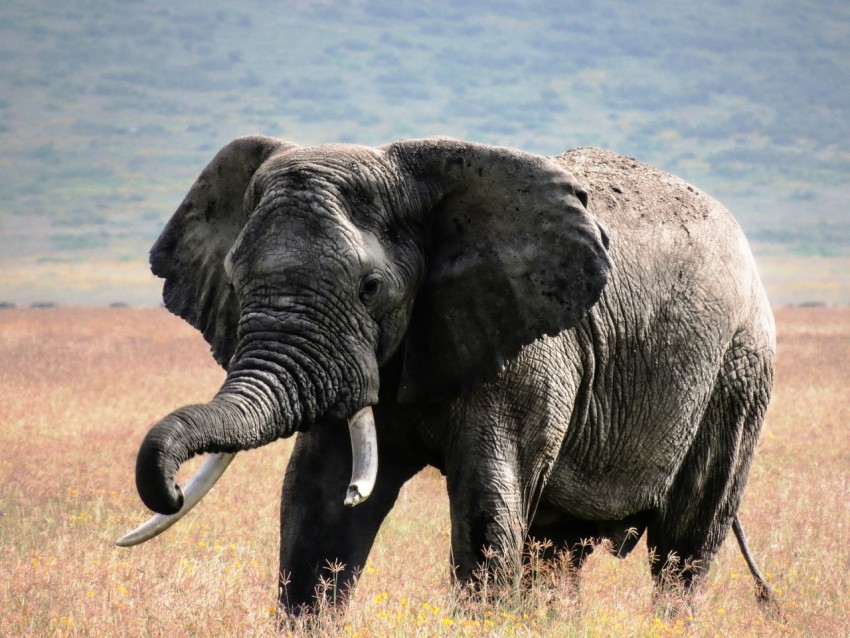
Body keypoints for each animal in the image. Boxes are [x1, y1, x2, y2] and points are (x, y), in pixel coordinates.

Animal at [118, 136, 776, 615]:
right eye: (233, 279)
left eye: (371, 286)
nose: (170, 488)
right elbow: (317, 513)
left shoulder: (528, 356)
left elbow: (487, 517)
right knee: (558, 554)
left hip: (738, 373)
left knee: (684, 550)